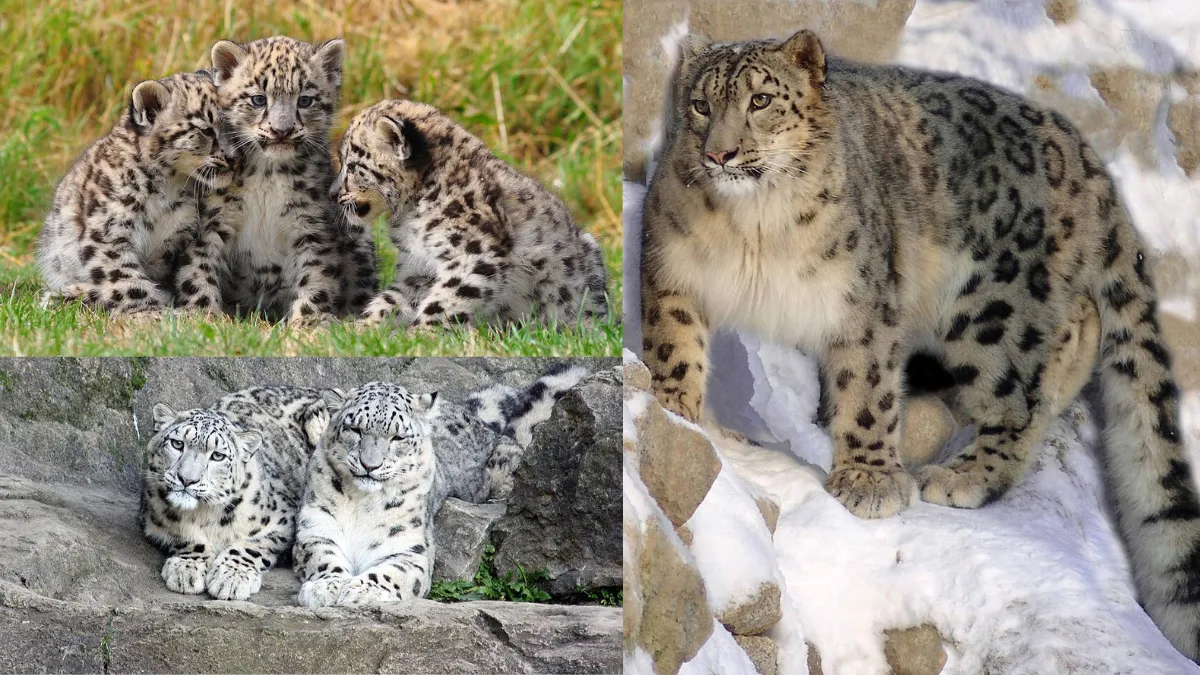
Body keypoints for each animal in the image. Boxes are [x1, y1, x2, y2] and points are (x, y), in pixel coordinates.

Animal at [38, 71, 236, 315]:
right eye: (206, 129)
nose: (234, 158)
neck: (168, 187)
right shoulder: (108, 234)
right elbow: (128, 281)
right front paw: (155, 312)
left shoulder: (186, 238)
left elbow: (194, 273)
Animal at [140, 386, 325, 601]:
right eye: (177, 444)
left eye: (218, 456)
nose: (186, 479)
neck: (203, 514)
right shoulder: (154, 517)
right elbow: (185, 536)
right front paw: (187, 568)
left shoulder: (284, 520)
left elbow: (252, 545)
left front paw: (231, 577)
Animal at [208, 36, 377, 324]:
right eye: (258, 99)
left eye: (305, 100)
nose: (282, 130)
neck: (267, 173)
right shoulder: (216, 220)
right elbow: (199, 270)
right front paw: (202, 311)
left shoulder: (311, 226)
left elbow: (315, 276)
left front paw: (305, 321)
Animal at [331, 99, 609, 328]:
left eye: (352, 165)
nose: (332, 193)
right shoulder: (419, 268)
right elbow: (392, 299)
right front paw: (361, 329)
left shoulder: (476, 253)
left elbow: (446, 300)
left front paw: (421, 333)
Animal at [639, 28, 1200, 660]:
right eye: (700, 105)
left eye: (760, 100)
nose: (720, 154)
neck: (752, 228)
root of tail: (1085, 155)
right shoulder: (674, 270)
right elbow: (675, 346)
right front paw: (677, 412)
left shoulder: (864, 301)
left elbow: (868, 389)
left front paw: (869, 481)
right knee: (1078, 329)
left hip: (993, 310)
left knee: (1024, 388)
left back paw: (964, 475)